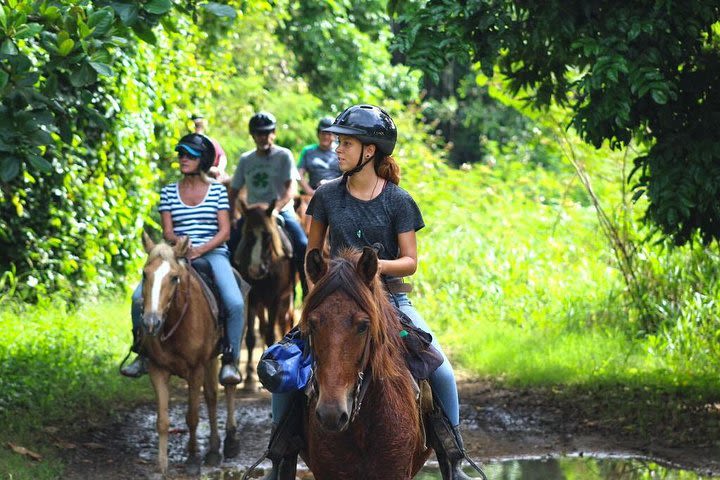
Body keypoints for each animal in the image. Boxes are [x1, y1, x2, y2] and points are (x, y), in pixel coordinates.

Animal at [139, 233, 240, 476]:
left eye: (174, 278)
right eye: (145, 274)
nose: (151, 323)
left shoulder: (195, 370)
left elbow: (192, 417)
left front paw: (193, 459)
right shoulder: (157, 369)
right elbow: (163, 420)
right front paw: (162, 464)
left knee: (229, 387)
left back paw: (230, 442)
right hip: (210, 358)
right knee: (212, 397)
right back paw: (213, 450)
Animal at [233, 201, 296, 384]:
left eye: (267, 235)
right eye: (247, 234)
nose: (255, 269)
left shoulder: (275, 299)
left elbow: (269, 334)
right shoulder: (253, 298)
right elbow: (251, 337)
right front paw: (249, 375)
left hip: (286, 298)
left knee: (284, 321)